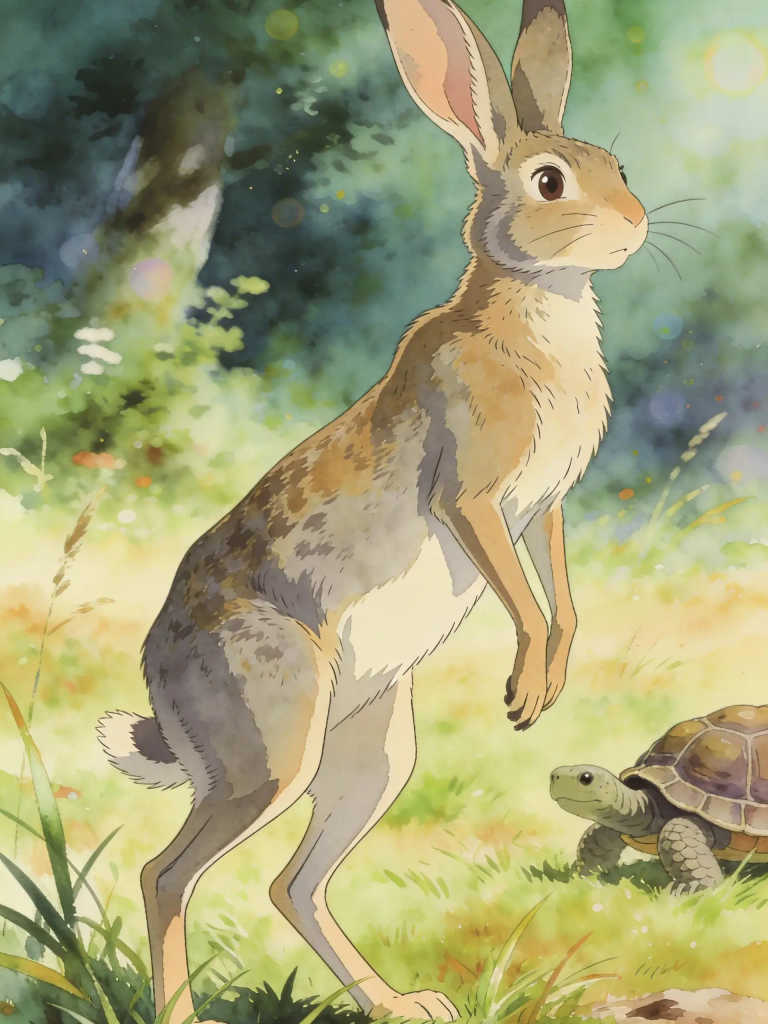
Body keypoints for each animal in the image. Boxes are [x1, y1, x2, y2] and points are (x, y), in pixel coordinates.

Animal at [97, 1, 647, 1021]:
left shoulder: (545, 506)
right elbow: (519, 591)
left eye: (616, 166)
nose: (632, 228)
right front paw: (526, 688)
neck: (531, 313)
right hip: (272, 743)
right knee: (168, 876)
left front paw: (551, 678)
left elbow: (559, 591)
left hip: (373, 748)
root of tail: (161, 690)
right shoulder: (474, 495)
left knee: (293, 884)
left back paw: (405, 1005)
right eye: (550, 181)